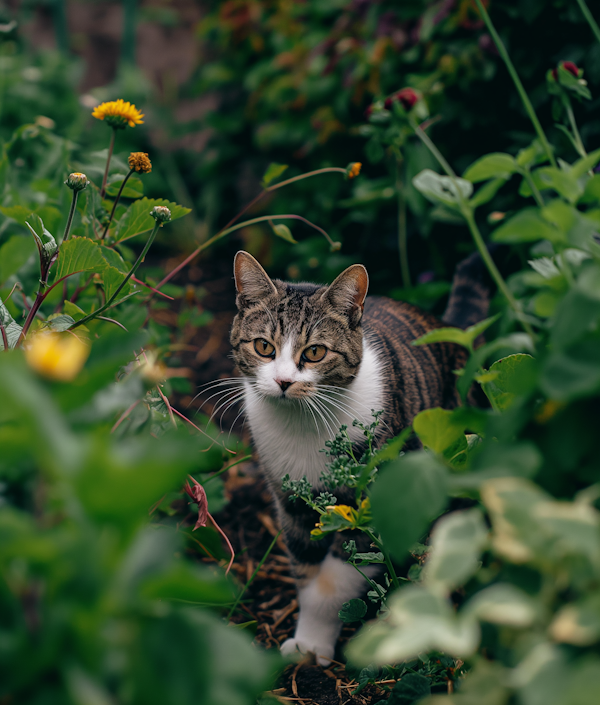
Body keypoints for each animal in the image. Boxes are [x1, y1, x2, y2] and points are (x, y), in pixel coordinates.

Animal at [227, 249, 490, 664]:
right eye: (264, 347)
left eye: (315, 352)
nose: (283, 382)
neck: (303, 424)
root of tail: (447, 325)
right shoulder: (293, 505)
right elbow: (307, 573)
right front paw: (307, 641)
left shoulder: (370, 504)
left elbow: (334, 582)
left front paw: (316, 643)